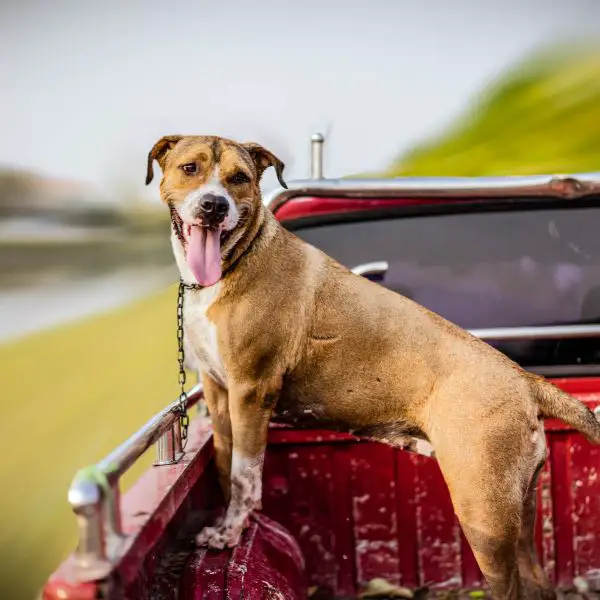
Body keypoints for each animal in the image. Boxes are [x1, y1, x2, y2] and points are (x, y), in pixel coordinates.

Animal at [148, 136, 600, 600]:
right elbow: (225, 462)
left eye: (239, 178)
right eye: (190, 168)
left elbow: (244, 475)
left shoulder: (251, 390)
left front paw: (230, 534)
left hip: (483, 518)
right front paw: (228, 529)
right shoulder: (219, 390)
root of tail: (526, 381)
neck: (237, 258)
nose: (213, 206)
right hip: (519, 514)